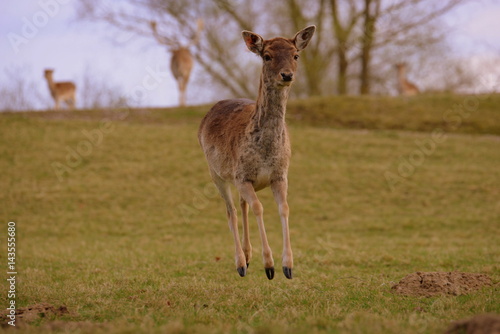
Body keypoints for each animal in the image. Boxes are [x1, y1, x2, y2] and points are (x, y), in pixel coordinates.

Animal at [197, 24, 314, 280]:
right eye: (267, 56)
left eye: (296, 55)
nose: (287, 75)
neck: (266, 152)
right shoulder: (242, 176)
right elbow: (259, 207)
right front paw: (269, 266)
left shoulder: (280, 175)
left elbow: (284, 208)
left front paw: (288, 266)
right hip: (216, 173)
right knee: (231, 210)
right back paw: (241, 263)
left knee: (242, 206)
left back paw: (248, 256)